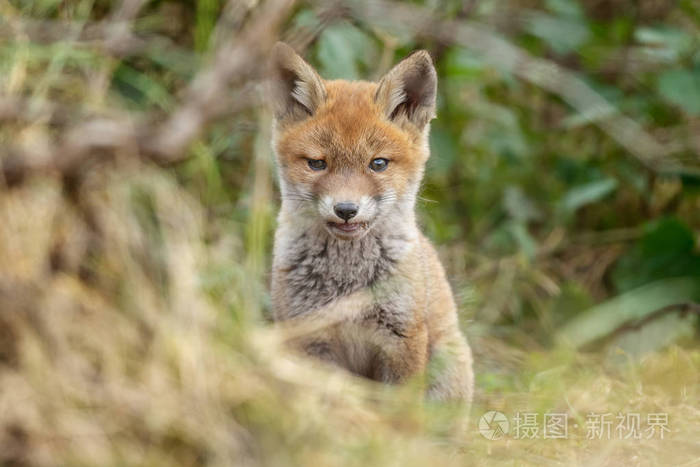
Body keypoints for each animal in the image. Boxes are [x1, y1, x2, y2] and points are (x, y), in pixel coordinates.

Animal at [268, 42, 476, 404]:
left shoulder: (400, 338)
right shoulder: (310, 338)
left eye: (377, 164)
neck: (347, 282)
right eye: (317, 164)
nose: (346, 209)